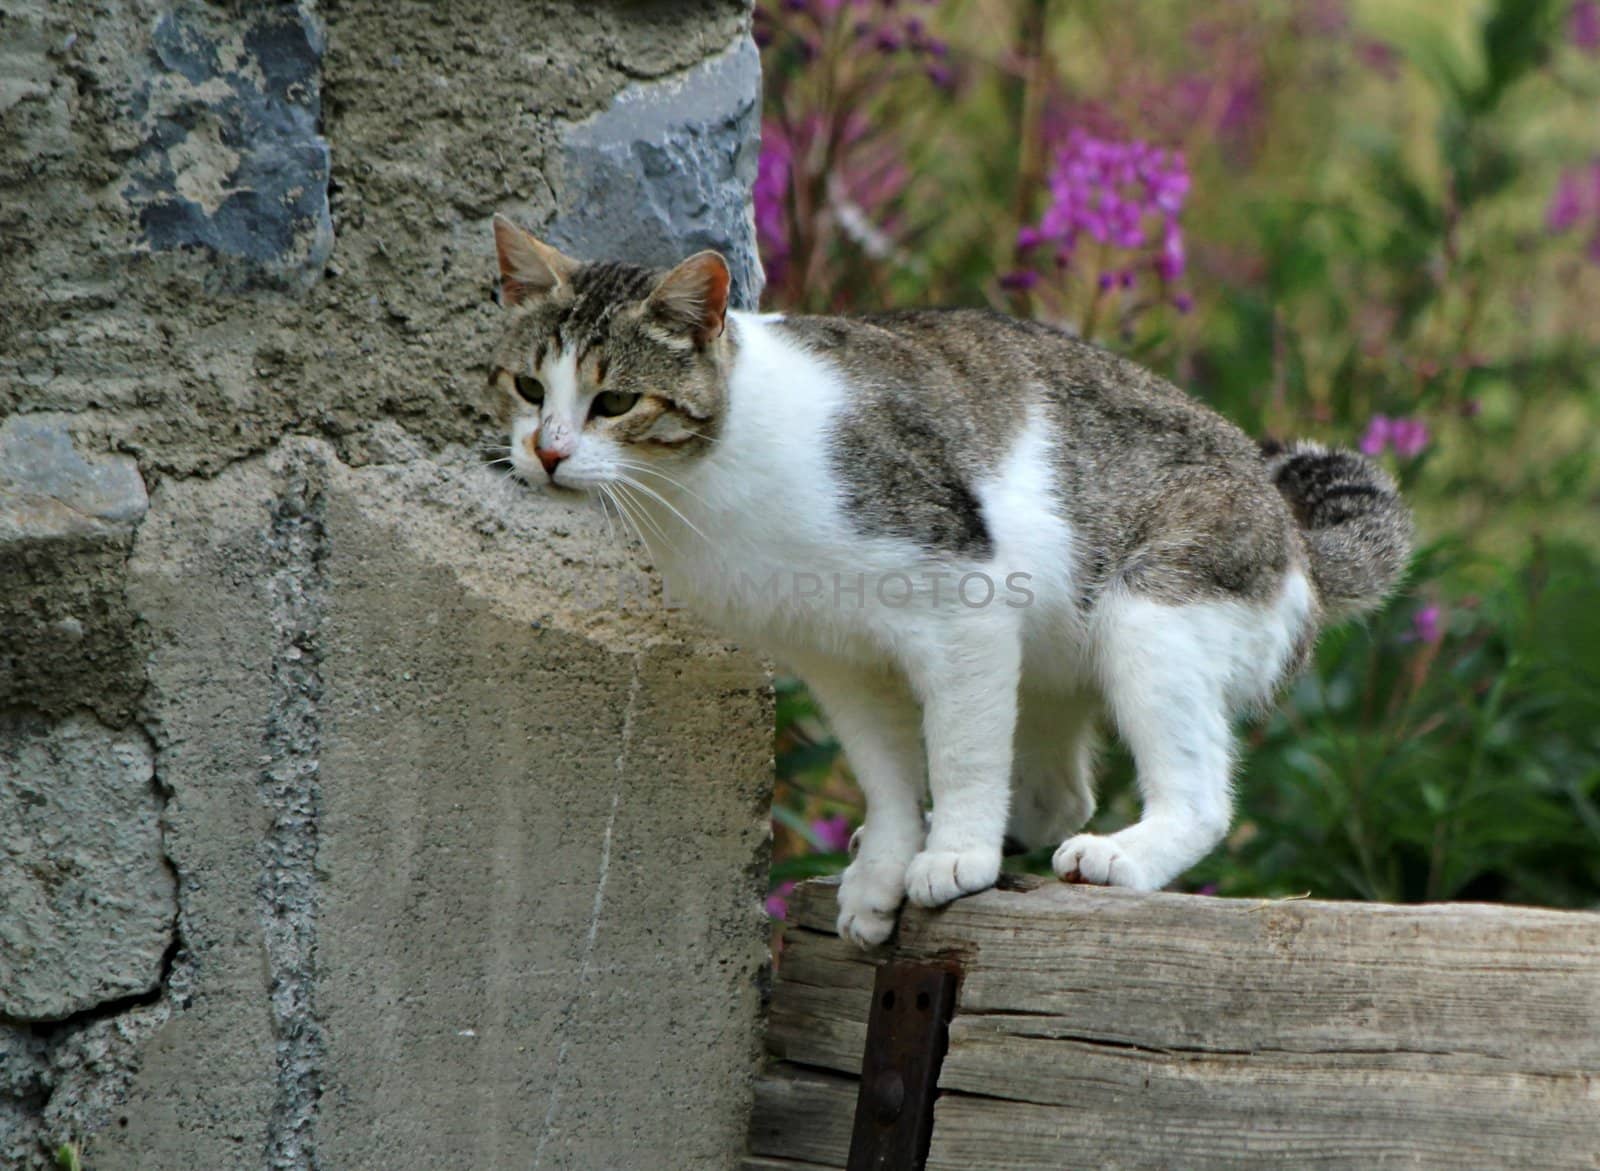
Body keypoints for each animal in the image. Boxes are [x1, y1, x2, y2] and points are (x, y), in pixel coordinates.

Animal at [486, 217, 1414, 953]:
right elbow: (890, 775)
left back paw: (1121, 854)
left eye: (616, 402)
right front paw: (887, 867)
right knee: (1059, 791)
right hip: (1052, 662)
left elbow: (961, 752)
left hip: (1152, 607)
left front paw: (956, 854)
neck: (708, 484)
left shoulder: (958, 603)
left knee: (1196, 797)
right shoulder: (840, 660)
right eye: (528, 386)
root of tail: (1294, 533)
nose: (547, 451)